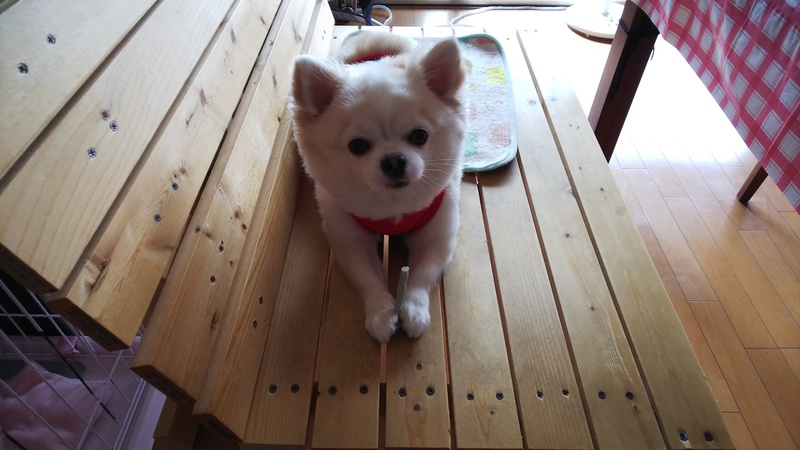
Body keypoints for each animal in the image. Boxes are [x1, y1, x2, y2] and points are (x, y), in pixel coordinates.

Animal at [290, 31, 467, 343]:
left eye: (419, 136)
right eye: (357, 146)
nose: (394, 161)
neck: (392, 206)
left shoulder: (436, 237)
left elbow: (421, 275)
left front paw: (414, 312)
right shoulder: (351, 243)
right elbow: (368, 279)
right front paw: (381, 314)